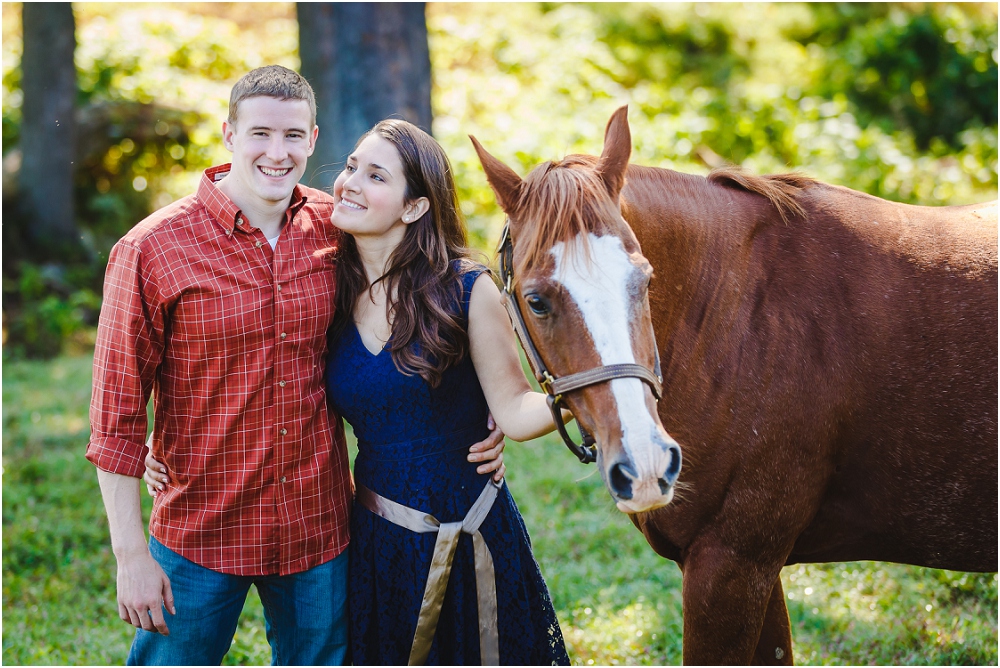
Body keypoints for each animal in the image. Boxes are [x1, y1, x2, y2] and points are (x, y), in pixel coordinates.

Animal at [472, 107, 996, 664]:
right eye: (536, 300)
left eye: (646, 280)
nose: (646, 463)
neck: (743, 314)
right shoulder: (753, 570)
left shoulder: (731, 567)